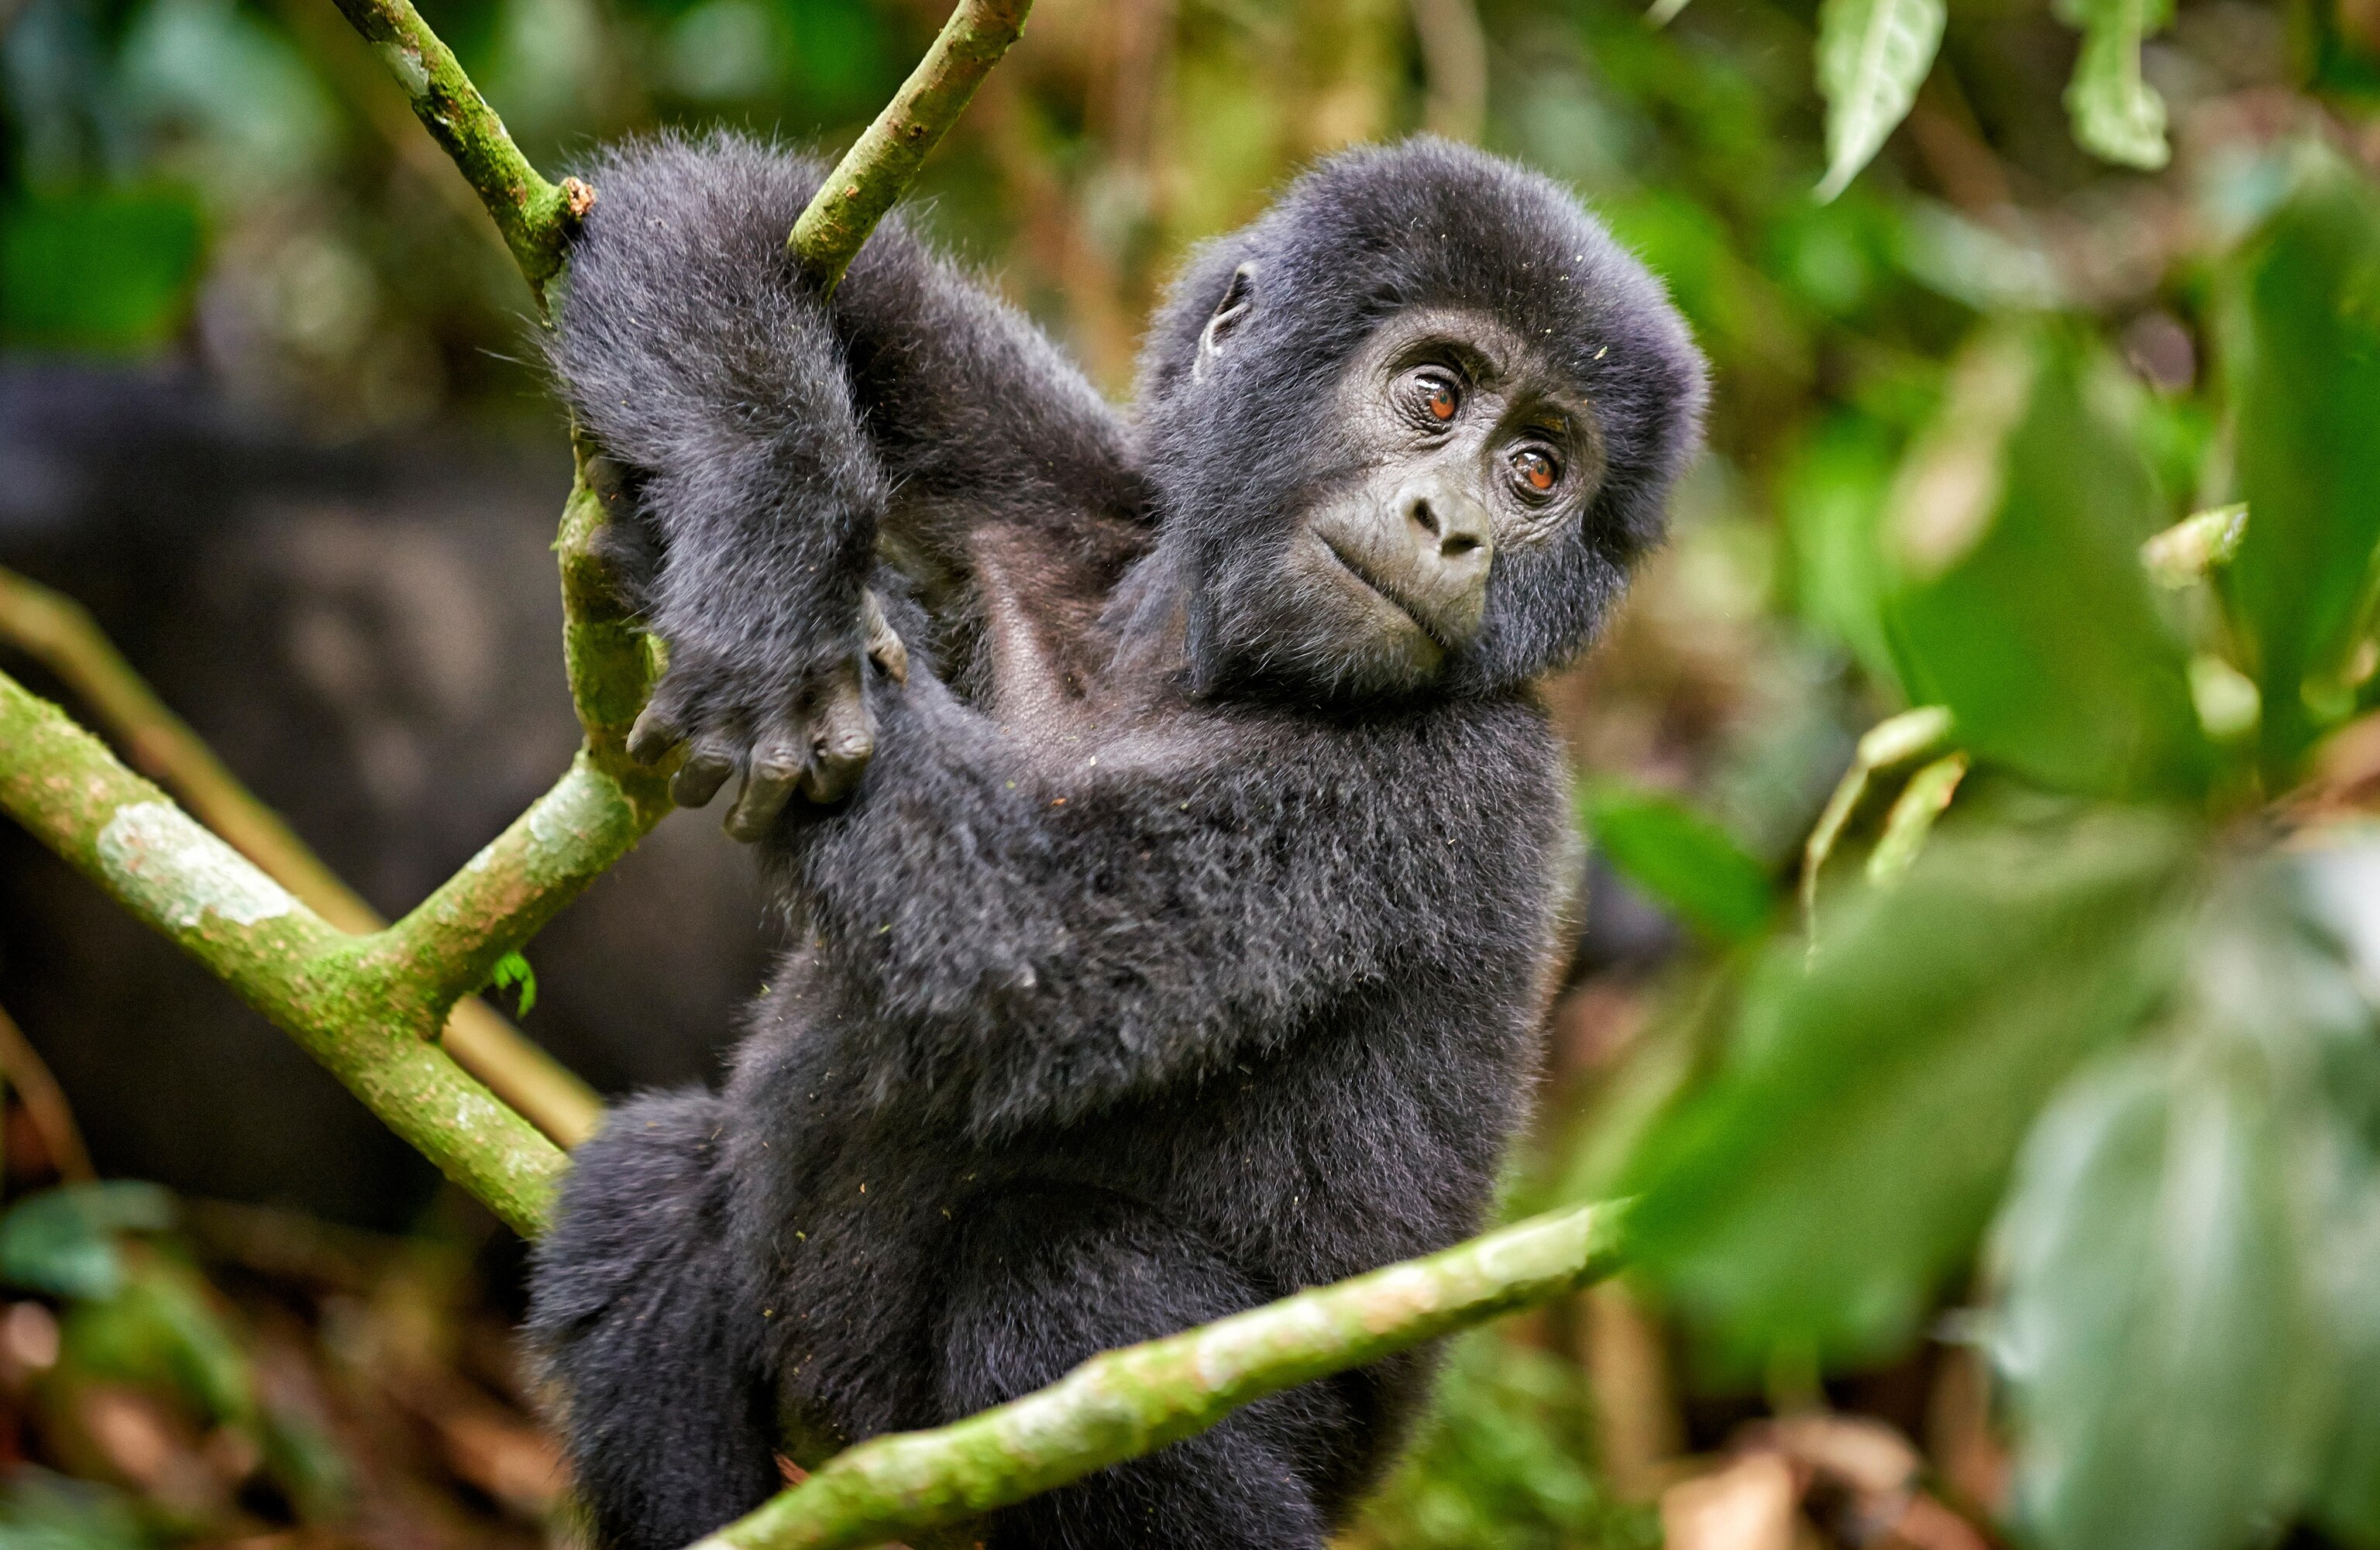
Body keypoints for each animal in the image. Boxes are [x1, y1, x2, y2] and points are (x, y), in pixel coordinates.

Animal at [526, 131, 1705, 1550]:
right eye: (1434, 396)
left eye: (1538, 471)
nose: (1454, 526)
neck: (1193, 655)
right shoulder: (1068, 489)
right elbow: (725, 224)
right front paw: (768, 572)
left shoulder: (1469, 774)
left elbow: (1031, 945)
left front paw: (795, 624)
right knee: (641, 1181)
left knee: (1068, 1282)